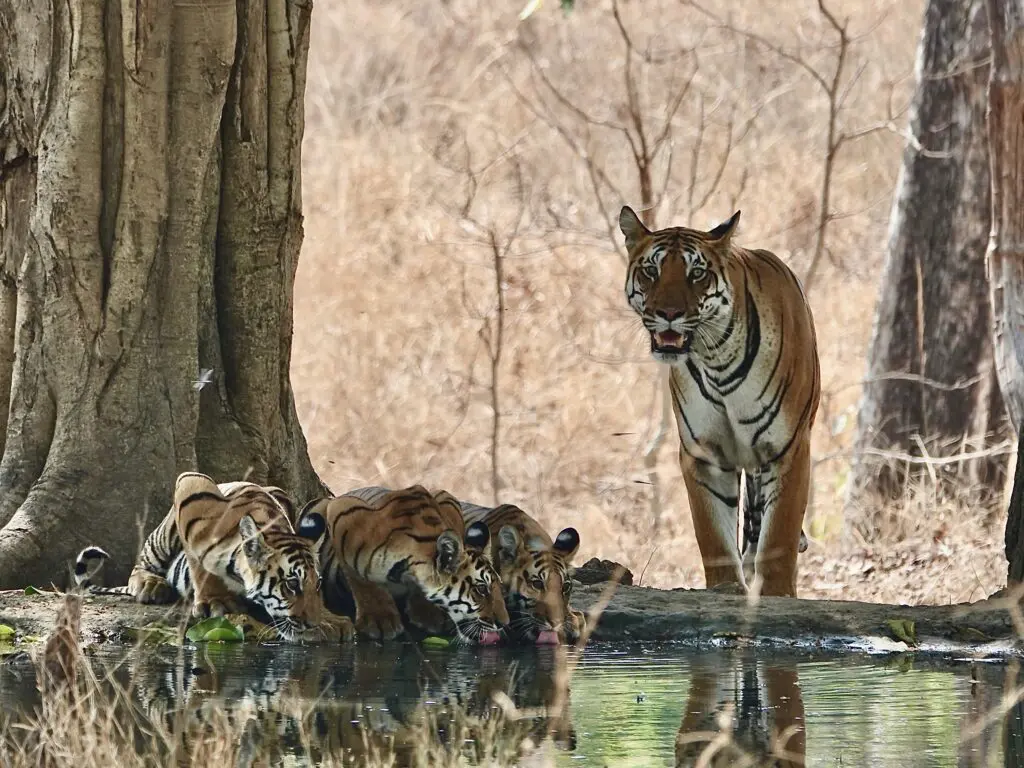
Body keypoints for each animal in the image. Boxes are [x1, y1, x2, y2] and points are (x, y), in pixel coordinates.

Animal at [75, 472, 352, 642]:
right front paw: (213, 600)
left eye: (317, 584)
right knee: (140, 566)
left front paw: (332, 620)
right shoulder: (191, 486)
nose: (312, 624)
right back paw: (151, 585)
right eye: (291, 584)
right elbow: (199, 561)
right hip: (163, 536)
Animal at [298, 485, 510, 645]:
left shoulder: (448, 501)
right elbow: (360, 577)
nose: (504, 623)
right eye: (481, 589)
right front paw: (379, 619)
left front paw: (426, 613)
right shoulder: (342, 510)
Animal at [619, 206, 820, 597]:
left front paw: (776, 594)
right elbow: (713, 538)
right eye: (651, 270)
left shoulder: (787, 448)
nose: (668, 313)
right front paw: (726, 589)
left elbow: (780, 536)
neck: (717, 358)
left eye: (696, 273)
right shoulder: (704, 455)